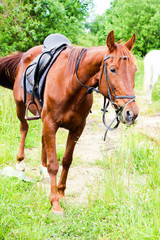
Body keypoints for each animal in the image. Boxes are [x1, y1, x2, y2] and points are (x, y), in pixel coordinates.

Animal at [0, 31, 139, 213]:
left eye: (134, 70)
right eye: (113, 69)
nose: (132, 113)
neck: (70, 86)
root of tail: (25, 55)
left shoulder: (77, 128)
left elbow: (66, 160)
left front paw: (61, 193)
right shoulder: (51, 123)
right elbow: (54, 164)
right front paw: (54, 203)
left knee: (42, 139)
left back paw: (42, 167)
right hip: (20, 107)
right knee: (24, 128)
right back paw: (20, 163)